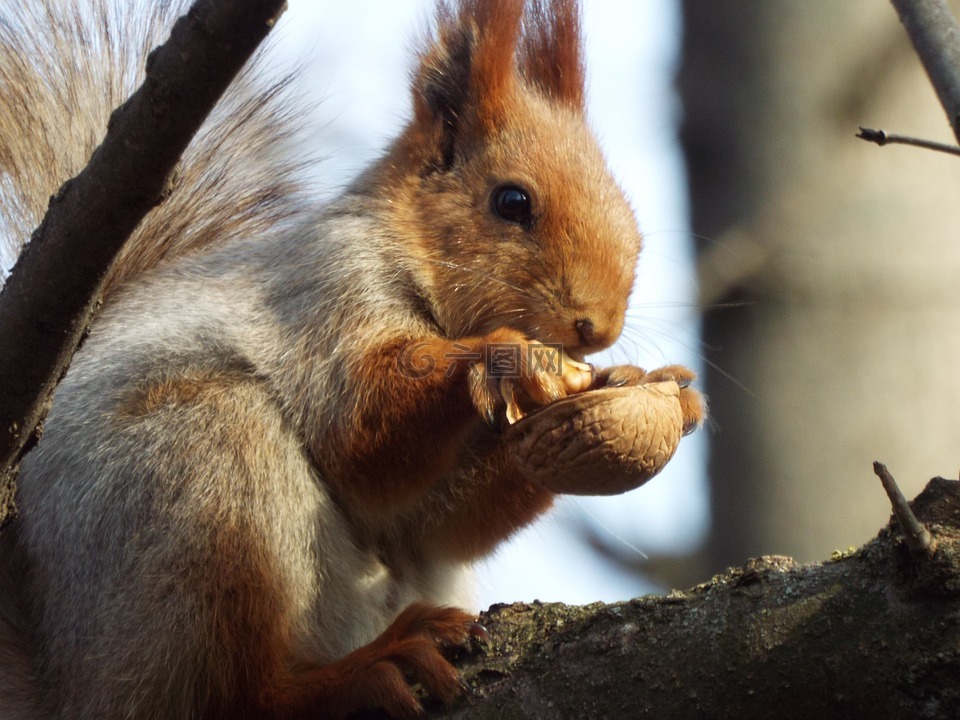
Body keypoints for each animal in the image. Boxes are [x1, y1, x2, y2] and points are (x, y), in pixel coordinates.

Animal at [0, 0, 704, 716]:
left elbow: (433, 526)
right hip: (199, 486)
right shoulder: (327, 291)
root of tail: (66, 681)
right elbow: (359, 433)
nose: (597, 327)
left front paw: (654, 388)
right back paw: (361, 671)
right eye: (512, 202)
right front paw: (505, 356)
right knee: (238, 692)